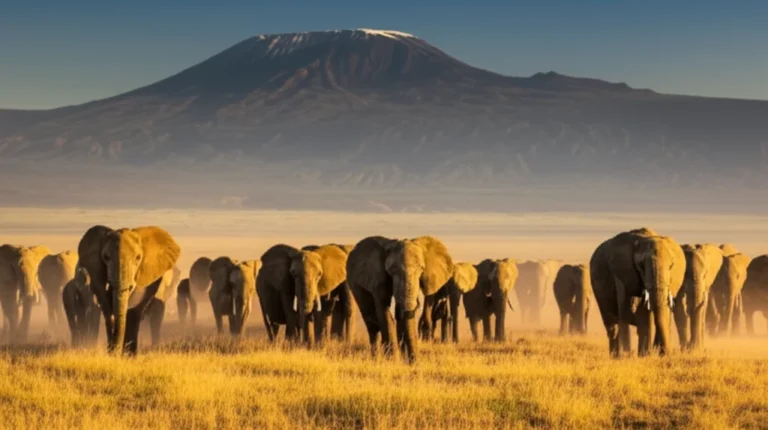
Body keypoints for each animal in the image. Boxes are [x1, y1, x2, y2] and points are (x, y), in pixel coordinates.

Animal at [77, 225, 181, 355]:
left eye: (138, 257)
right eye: (106, 257)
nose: (115, 352)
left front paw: (124, 354)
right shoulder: (94, 269)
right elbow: (104, 301)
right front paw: (113, 354)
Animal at [590, 228, 685, 357]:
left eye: (671, 266)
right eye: (641, 266)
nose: (664, 353)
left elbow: (648, 317)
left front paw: (646, 356)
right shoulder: (621, 273)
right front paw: (628, 357)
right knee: (612, 325)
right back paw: (616, 356)